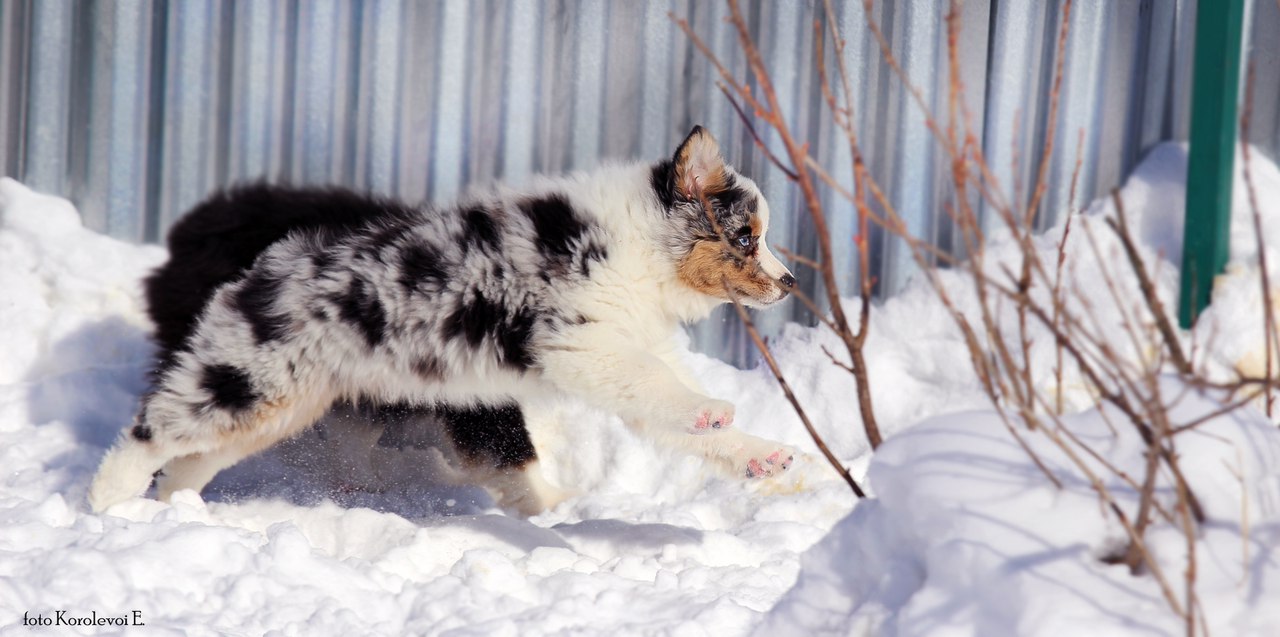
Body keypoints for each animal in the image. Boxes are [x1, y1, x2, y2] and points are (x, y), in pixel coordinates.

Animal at [90, 126, 793, 514]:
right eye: (747, 237)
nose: (791, 282)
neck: (644, 248)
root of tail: (260, 270)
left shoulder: (622, 351)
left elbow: (674, 410)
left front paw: (762, 455)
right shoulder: (579, 343)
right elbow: (658, 386)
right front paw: (712, 411)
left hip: (285, 406)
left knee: (195, 456)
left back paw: (172, 507)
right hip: (248, 379)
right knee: (152, 430)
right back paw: (108, 501)